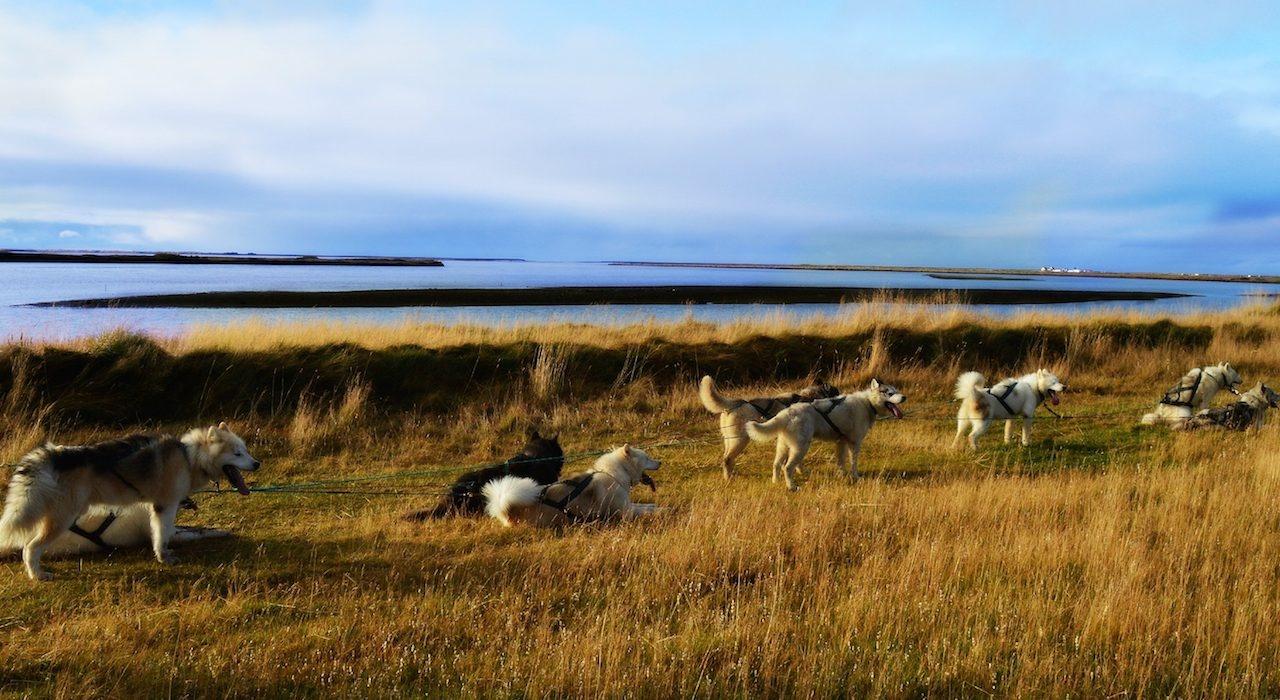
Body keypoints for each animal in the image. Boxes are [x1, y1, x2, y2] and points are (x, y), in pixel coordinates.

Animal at [0, 424, 259, 583]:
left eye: (246, 451)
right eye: (237, 454)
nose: (257, 464)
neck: (189, 457)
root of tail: (54, 454)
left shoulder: (157, 509)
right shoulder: (165, 507)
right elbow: (163, 536)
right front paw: (164, 558)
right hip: (62, 519)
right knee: (30, 547)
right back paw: (37, 575)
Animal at [481, 445, 660, 529]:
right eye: (647, 458)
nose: (660, 462)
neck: (614, 473)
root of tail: (508, 512)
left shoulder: (629, 505)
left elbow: (647, 505)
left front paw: (656, 506)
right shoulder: (626, 511)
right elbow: (646, 510)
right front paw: (661, 510)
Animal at [696, 378, 844, 481]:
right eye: (836, 392)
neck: (808, 398)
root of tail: (735, 404)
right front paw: (800, 471)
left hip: (730, 440)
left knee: (727, 459)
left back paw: (731, 475)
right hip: (740, 440)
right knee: (727, 459)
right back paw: (729, 478)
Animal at [742, 381, 911, 491]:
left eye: (896, 391)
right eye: (890, 393)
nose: (904, 397)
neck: (867, 402)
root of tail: (787, 413)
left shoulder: (841, 442)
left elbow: (841, 462)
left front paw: (842, 475)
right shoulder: (855, 443)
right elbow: (853, 463)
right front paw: (855, 476)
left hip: (783, 447)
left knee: (776, 465)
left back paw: (776, 482)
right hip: (800, 448)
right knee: (787, 467)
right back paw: (791, 486)